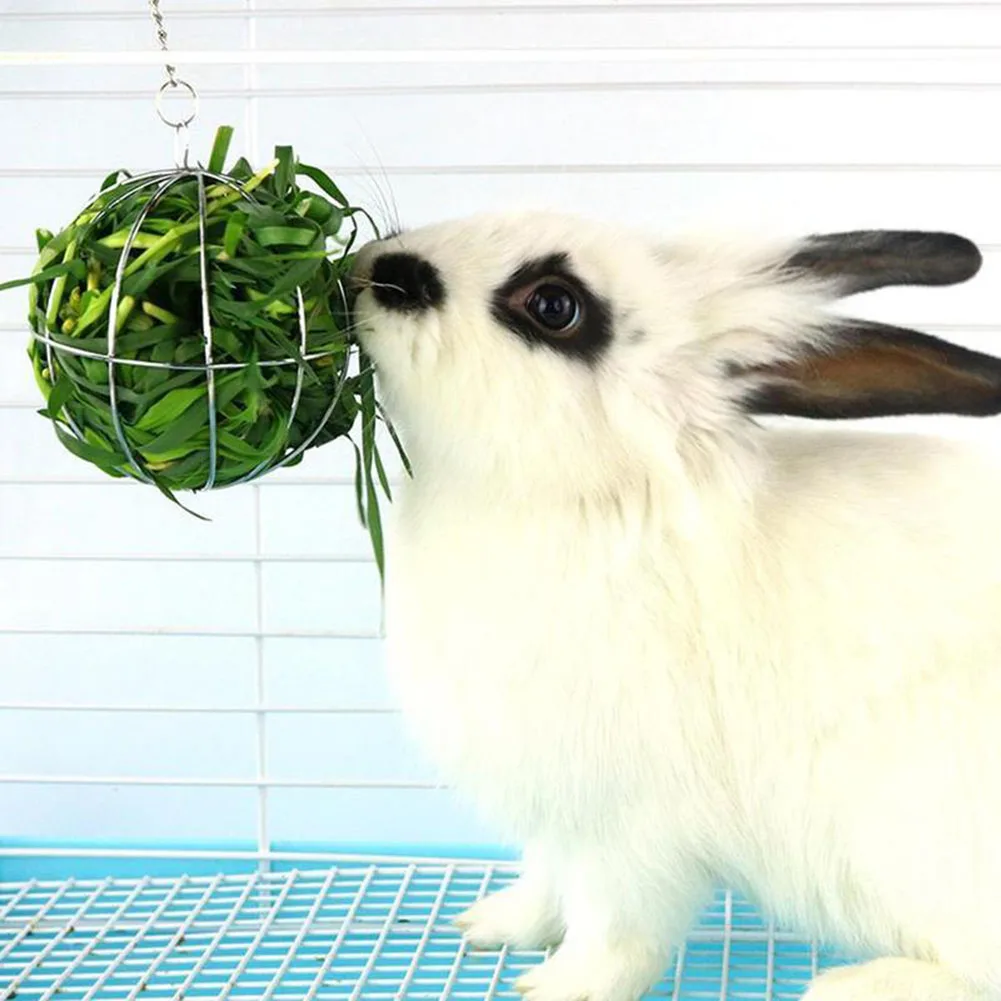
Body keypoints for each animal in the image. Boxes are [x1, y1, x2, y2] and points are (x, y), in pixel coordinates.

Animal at [350, 212, 1001, 1001]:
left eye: (555, 305)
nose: (378, 268)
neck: (595, 498)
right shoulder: (557, 810)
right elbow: (545, 878)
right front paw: (494, 925)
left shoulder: (629, 829)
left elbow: (614, 930)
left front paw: (558, 986)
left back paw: (855, 984)